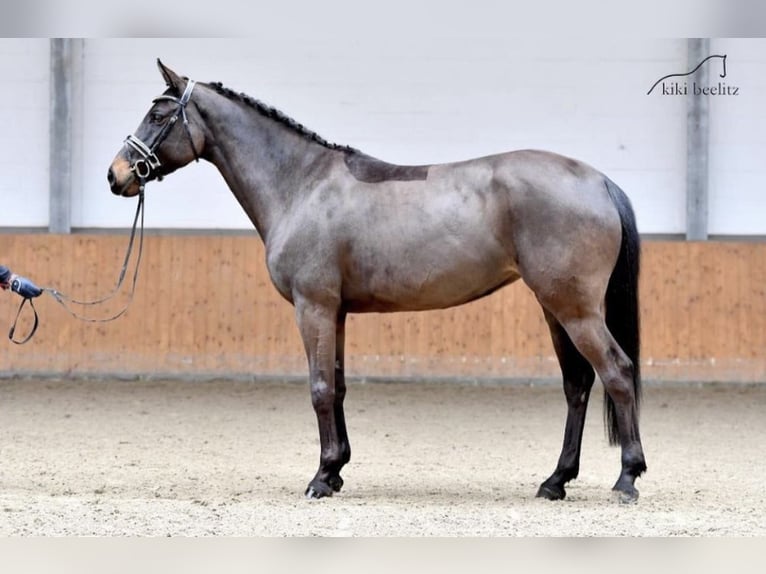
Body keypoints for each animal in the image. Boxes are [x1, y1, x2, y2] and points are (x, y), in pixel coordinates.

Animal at [108, 60, 648, 504]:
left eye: (158, 115)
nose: (117, 175)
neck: (301, 184)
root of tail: (598, 181)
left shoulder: (313, 307)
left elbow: (320, 388)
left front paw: (320, 478)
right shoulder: (336, 313)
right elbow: (339, 387)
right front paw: (336, 470)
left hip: (575, 309)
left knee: (616, 372)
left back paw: (627, 478)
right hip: (555, 307)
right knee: (578, 384)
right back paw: (555, 481)